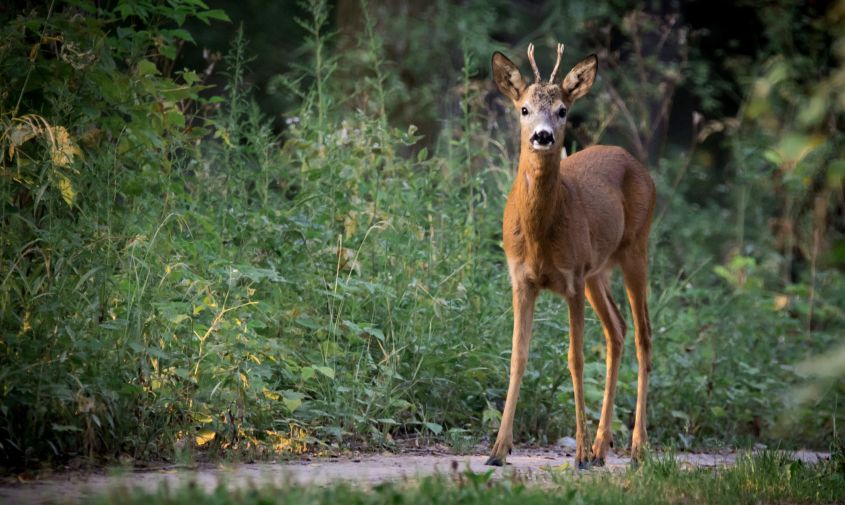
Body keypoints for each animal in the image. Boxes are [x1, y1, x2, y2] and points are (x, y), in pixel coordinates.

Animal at [484, 42, 656, 468]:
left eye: (562, 110)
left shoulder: (572, 278)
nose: (544, 136)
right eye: (524, 109)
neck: (539, 236)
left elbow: (575, 360)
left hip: (635, 248)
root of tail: (636, 163)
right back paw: (600, 447)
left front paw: (576, 452)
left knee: (643, 334)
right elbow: (517, 356)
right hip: (598, 271)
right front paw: (498, 449)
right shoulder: (521, 279)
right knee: (618, 330)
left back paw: (635, 447)